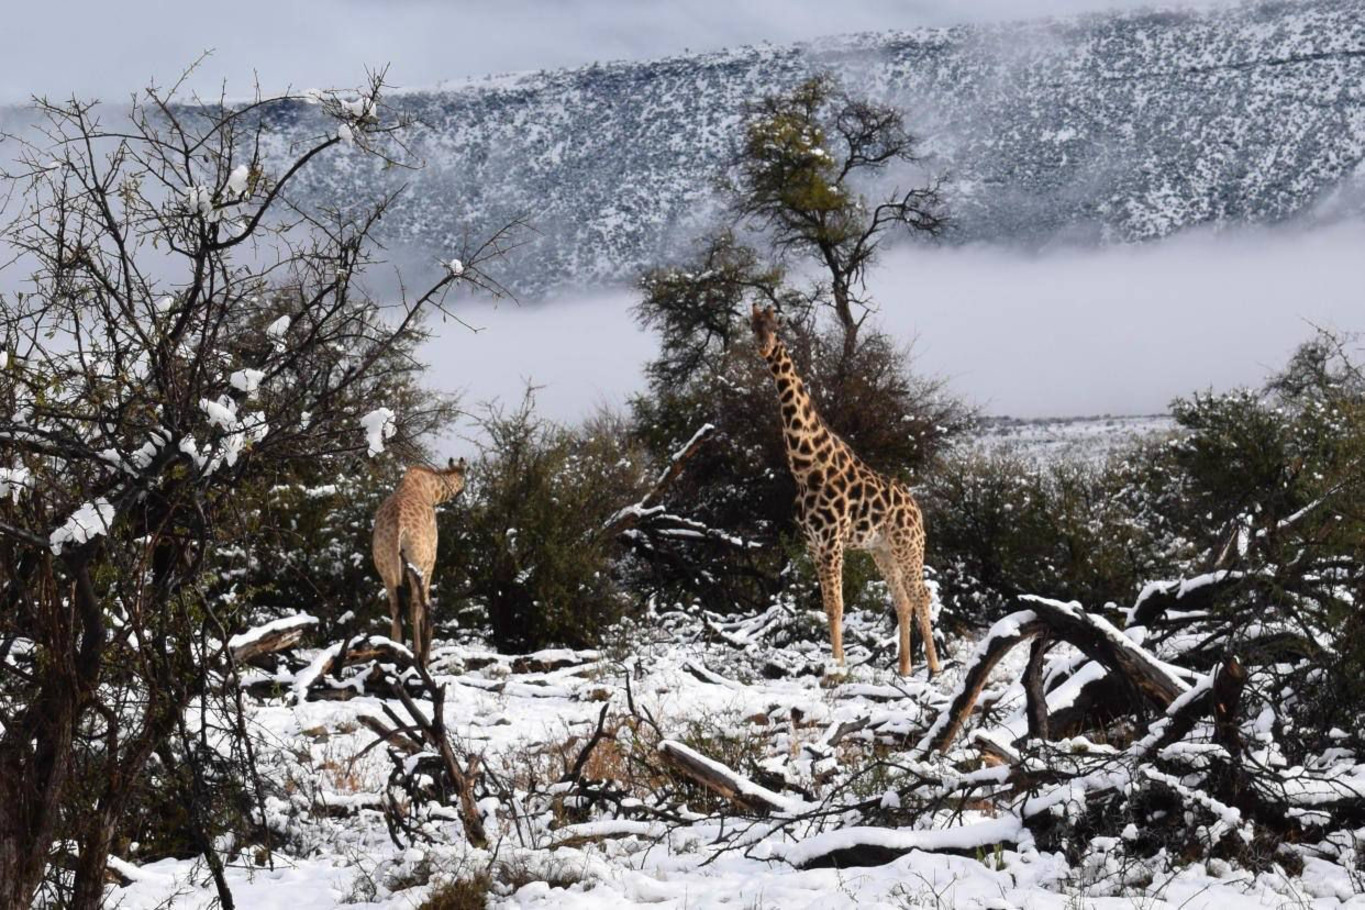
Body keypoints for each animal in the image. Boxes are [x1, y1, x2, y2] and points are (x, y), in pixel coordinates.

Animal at [371, 458, 466, 665]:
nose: (461, 491)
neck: (430, 490)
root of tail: (398, 525)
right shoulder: (431, 559)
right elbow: (425, 603)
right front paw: (426, 653)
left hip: (384, 563)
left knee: (395, 606)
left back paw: (395, 651)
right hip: (417, 561)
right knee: (415, 604)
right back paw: (418, 655)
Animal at [753, 305, 944, 676]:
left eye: (776, 326)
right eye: (753, 327)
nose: (764, 349)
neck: (806, 464)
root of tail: (916, 508)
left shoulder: (831, 541)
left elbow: (838, 605)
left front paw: (837, 668)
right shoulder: (813, 544)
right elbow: (828, 605)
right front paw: (834, 664)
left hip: (908, 545)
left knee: (921, 594)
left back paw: (934, 668)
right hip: (881, 550)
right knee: (901, 599)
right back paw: (904, 670)